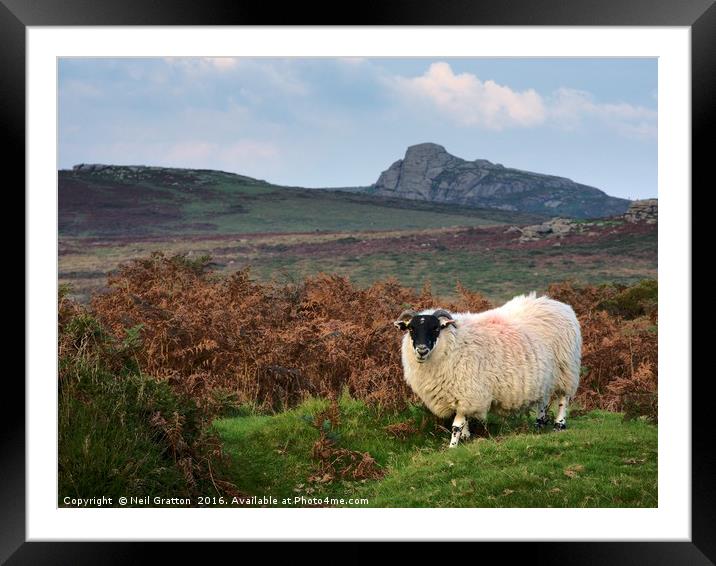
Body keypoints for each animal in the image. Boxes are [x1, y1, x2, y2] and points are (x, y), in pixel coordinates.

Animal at [394, 292, 584, 448]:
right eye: (411, 328)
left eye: (436, 328)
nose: (421, 350)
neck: (453, 341)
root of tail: (559, 305)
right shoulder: (461, 393)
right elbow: (463, 419)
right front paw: (466, 438)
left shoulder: (467, 391)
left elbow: (456, 424)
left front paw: (453, 446)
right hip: (545, 374)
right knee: (543, 399)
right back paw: (539, 423)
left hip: (566, 368)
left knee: (563, 398)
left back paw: (559, 424)